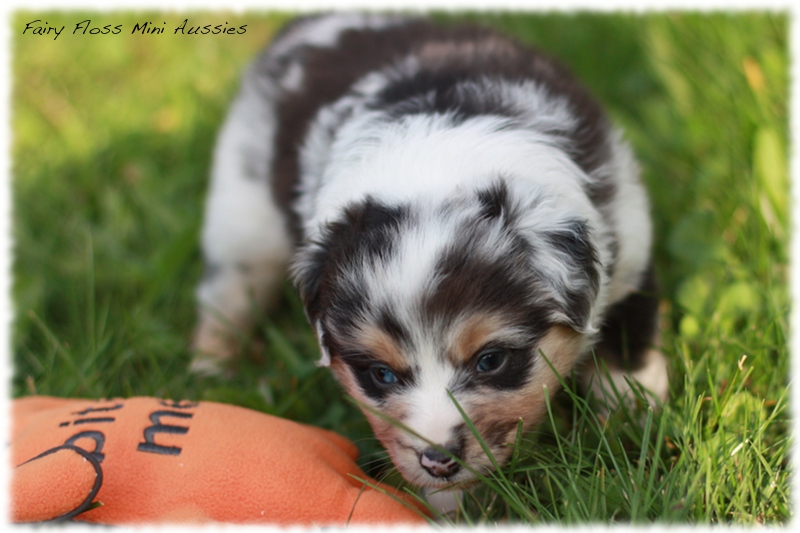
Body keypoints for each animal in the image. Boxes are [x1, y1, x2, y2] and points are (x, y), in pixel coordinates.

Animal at [194, 12, 668, 486]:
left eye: (490, 360)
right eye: (380, 374)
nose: (438, 462)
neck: (440, 167)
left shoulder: (627, 249)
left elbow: (627, 340)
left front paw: (636, 419)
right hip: (242, 216)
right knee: (226, 296)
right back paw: (208, 374)